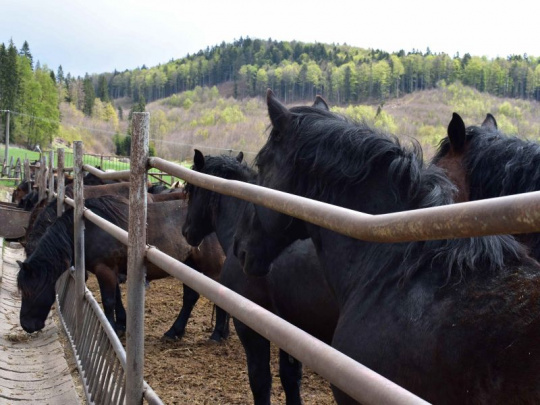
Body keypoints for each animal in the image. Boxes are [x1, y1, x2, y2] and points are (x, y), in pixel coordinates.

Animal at [15, 194, 225, 342]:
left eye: (28, 291)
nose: (26, 325)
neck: (87, 230)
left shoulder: (105, 270)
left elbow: (108, 301)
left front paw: (111, 330)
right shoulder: (112, 271)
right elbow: (116, 298)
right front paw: (121, 325)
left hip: (212, 271)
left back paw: (218, 334)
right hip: (190, 267)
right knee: (190, 298)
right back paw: (175, 331)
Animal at [181, 148, 338, 404]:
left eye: (192, 189)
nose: (186, 232)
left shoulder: (251, 328)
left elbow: (260, 380)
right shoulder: (290, 330)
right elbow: (290, 378)